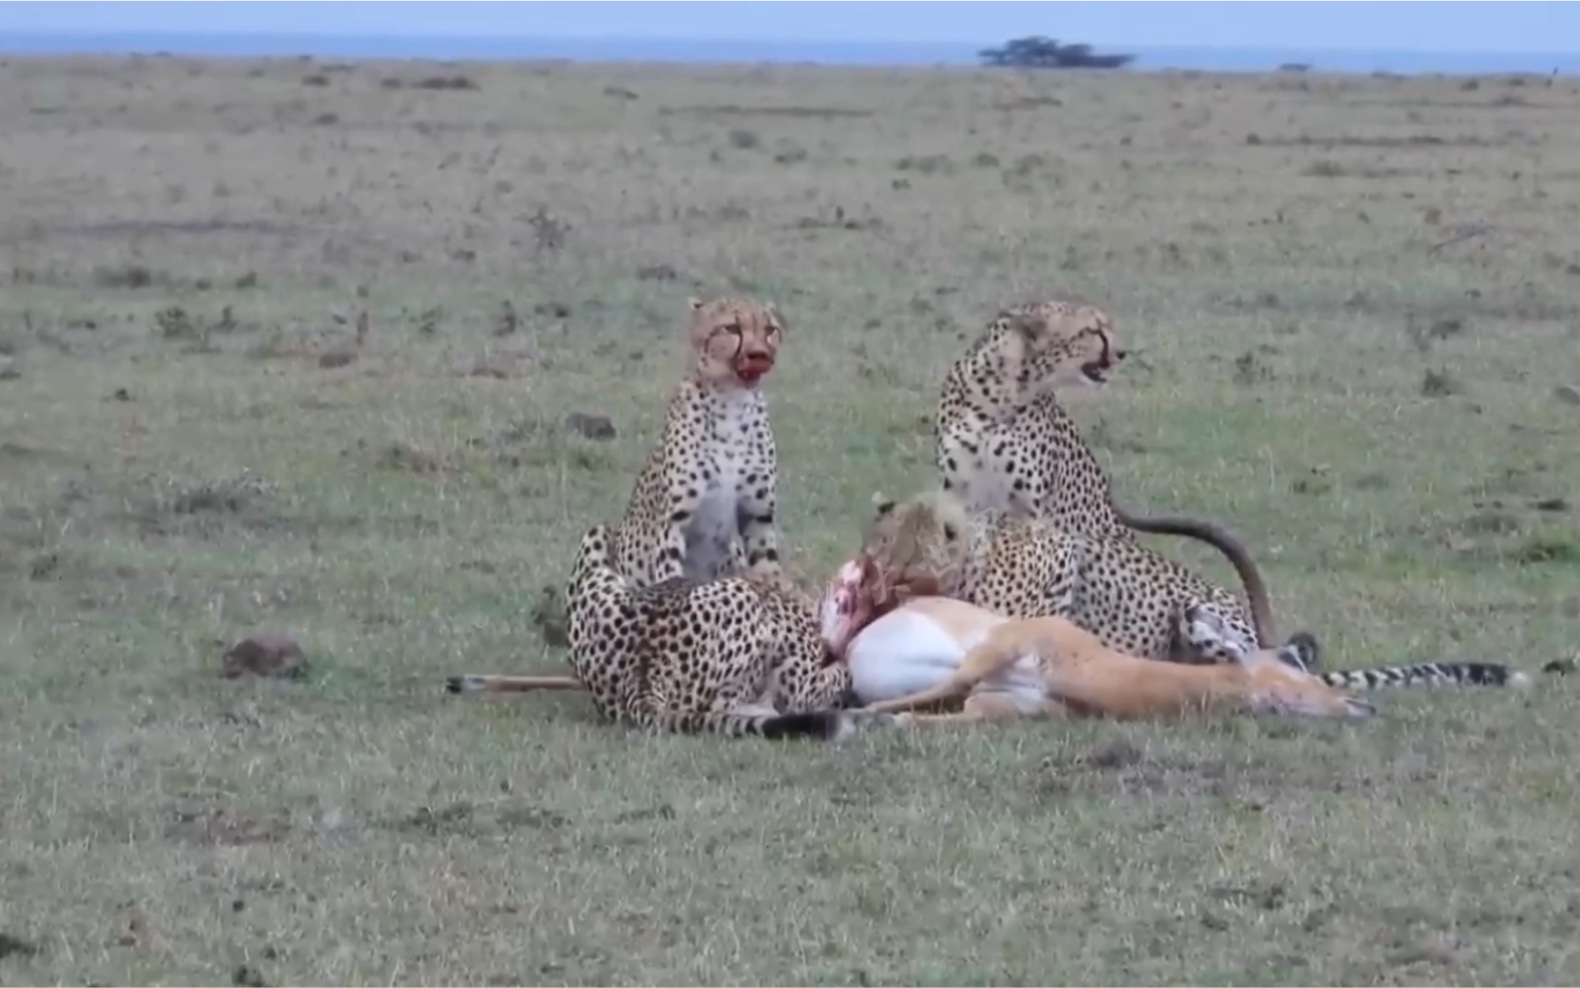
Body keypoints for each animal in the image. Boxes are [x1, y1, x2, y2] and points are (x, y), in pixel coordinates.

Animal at [606, 290, 786, 584]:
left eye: (770, 330)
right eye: (732, 328)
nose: (758, 354)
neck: (732, 399)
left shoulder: (758, 516)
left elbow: (769, 571)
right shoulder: (675, 522)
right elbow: (670, 575)